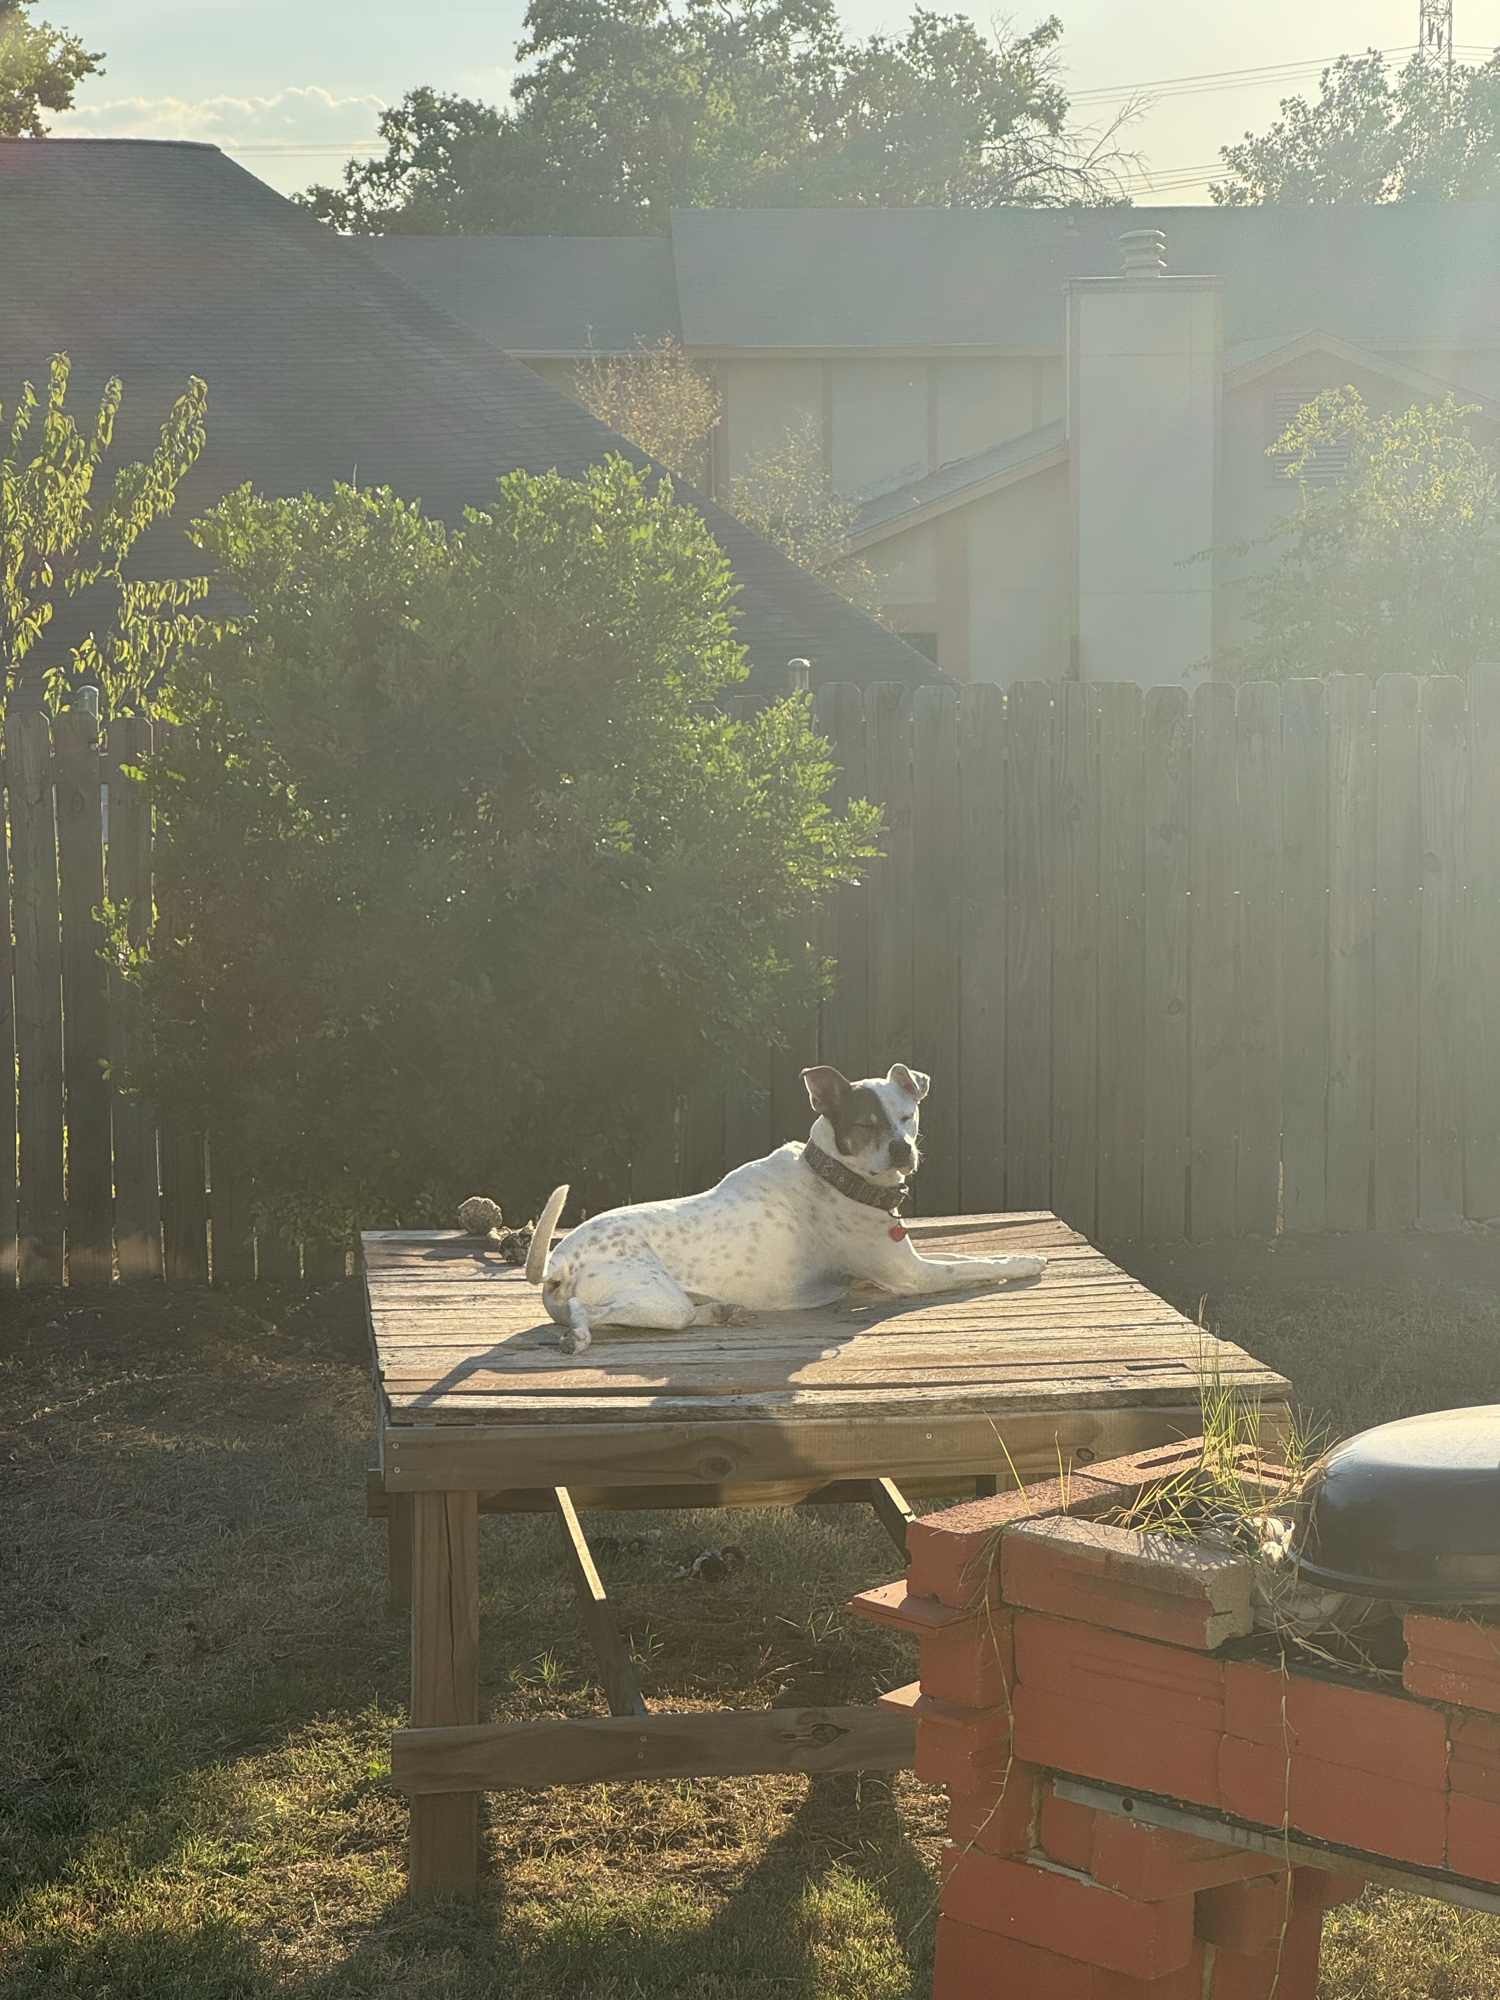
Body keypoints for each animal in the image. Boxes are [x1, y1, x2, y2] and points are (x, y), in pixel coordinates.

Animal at [525, 1063, 1046, 1356]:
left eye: (908, 1116)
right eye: (866, 1124)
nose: (903, 1150)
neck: (833, 1174)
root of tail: (559, 1260)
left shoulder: (905, 1262)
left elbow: (965, 1257)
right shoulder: (912, 1276)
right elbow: (977, 1268)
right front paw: (1027, 1260)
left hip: (665, 1304)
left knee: (672, 1316)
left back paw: (723, 1312)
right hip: (656, 1297)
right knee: (587, 1312)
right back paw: (579, 1338)